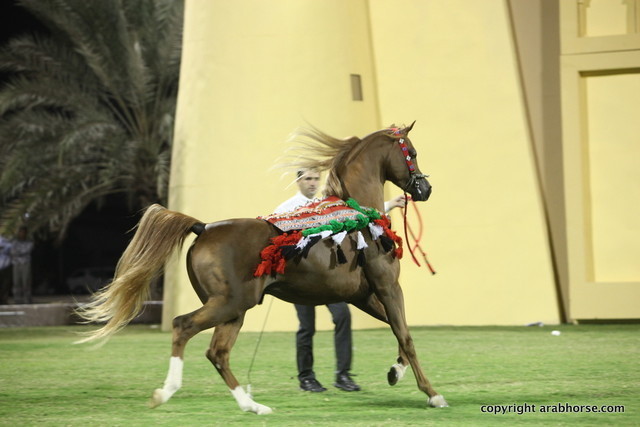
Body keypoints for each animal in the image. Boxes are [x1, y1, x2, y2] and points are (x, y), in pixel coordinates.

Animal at [76, 122, 448, 414]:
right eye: (412, 152)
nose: (425, 188)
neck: (360, 216)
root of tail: (203, 228)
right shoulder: (387, 287)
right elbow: (406, 335)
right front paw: (432, 394)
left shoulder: (363, 296)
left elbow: (398, 331)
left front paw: (394, 372)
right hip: (229, 304)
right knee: (183, 327)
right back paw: (166, 393)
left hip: (234, 311)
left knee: (218, 352)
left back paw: (252, 405)